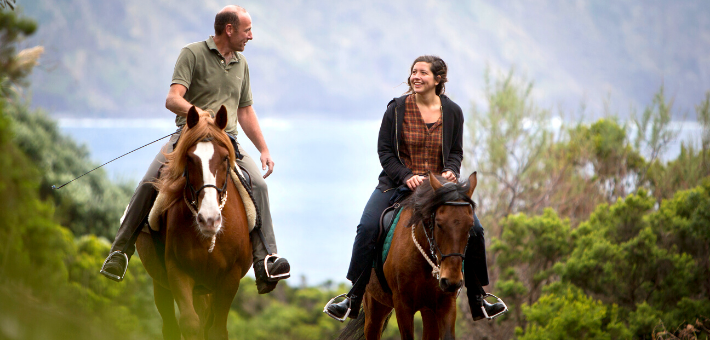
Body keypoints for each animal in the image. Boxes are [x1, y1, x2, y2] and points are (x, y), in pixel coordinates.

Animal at [136, 106, 253, 340]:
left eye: (225, 158)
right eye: (189, 159)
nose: (209, 220)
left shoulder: (230, 278)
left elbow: (217, 330)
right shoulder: (177, 271)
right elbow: (190, 324)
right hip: (162, 284)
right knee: (170, 325)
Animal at [338, 173, 478, 340]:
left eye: (470, 226)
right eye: (438, 223)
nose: (451, 281)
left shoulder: (445, 303)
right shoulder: (402, 305)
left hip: (426, 310)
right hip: (374, 307)